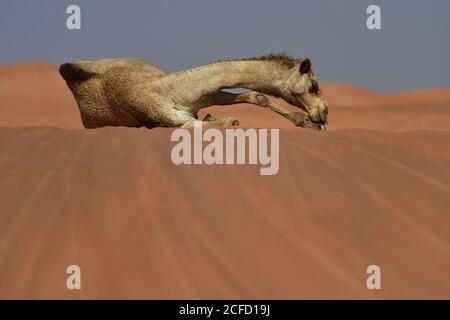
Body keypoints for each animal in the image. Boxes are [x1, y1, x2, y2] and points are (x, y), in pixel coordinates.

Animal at [59, 54, 326, 130]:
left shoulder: (206, 96)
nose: (323, 113)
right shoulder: (175, 121)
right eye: (313, 85)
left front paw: (306, 123)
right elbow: (228, 123)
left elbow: (255, 96)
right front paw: (221, 119)